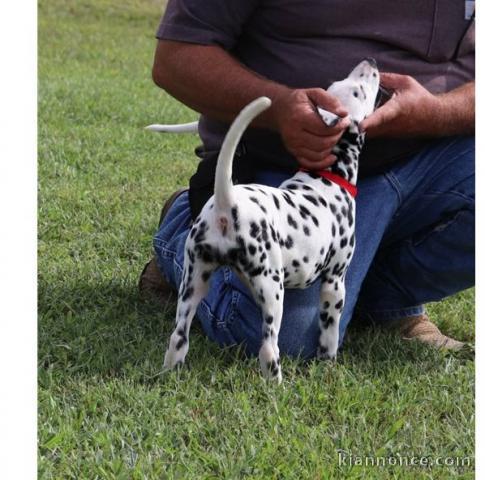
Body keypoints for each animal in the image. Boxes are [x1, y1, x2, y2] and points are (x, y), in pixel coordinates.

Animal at [164, 59, 380, 382]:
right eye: (359, 91)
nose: (372, 62)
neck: (327, 176)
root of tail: (227, 200)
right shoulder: (335, 282)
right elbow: (329, 333)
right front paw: (328, 362)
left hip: (194, 280)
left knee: (178, 336)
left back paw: (169, 373)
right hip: (271, 287)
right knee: (268, 346)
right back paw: (277, 383)